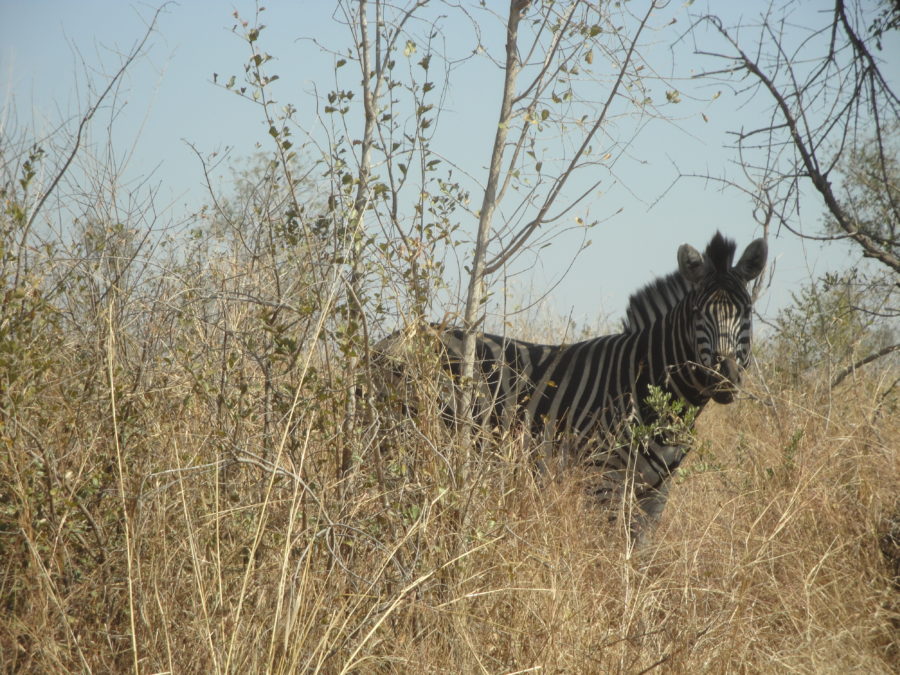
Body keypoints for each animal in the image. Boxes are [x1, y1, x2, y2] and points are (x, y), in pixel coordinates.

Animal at [372, 232, 768, 548]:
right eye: (699, 314)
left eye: (747, 312)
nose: (724, 378)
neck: (646, 382)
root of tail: (389, 340)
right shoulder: (602, 480)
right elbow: (610, 553)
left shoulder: (656, 490)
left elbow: (639, 555)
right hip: (399, 442)